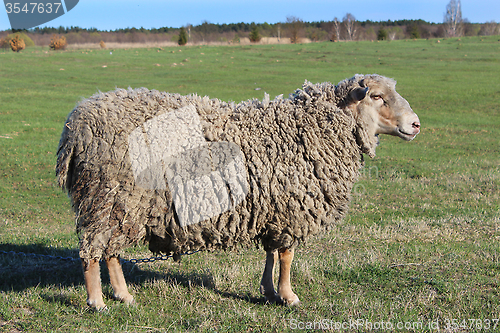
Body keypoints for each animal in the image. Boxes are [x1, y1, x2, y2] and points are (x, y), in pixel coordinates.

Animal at [56, 73, 420, 308]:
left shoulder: (274, 209)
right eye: (376, 96)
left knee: (110, 250)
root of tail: (76, 126)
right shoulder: (290, 210)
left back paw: (124, 295)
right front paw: (289, 297)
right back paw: (97, 301)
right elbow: (286, 256)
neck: (313, 129)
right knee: (93, 251)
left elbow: (272, 255)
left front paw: (270, 291)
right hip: (107, 198)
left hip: (119, 204)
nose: (416, 124)